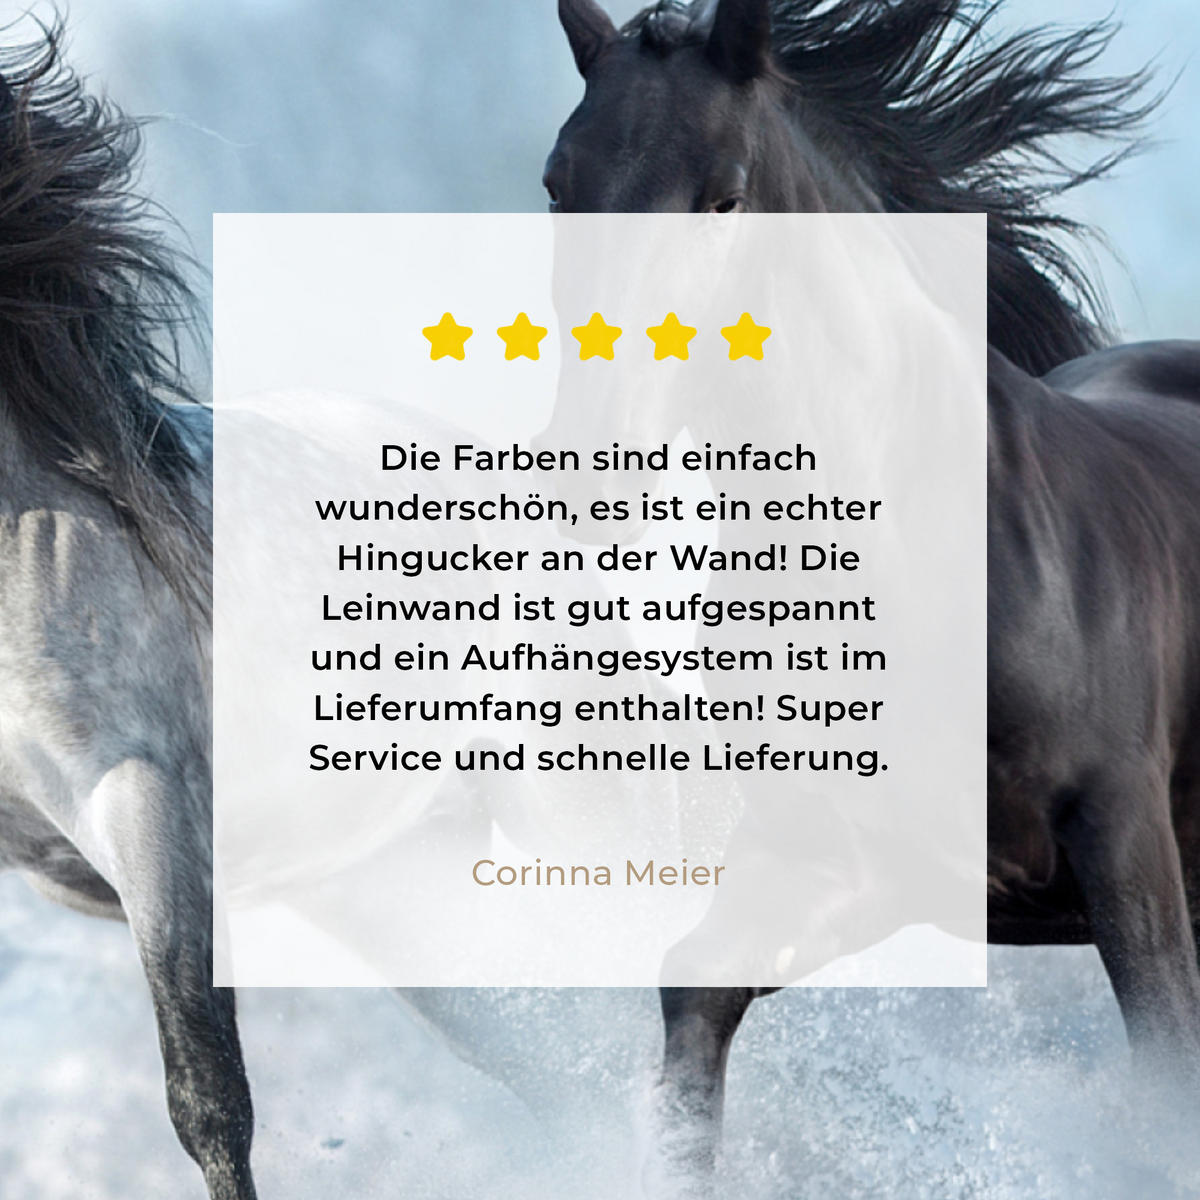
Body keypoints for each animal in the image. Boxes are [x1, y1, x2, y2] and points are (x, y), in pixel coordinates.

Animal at [546, 0, 1200, 1190]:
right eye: (558, 186)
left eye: (725, 197)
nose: (590, 466)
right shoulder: (848, 862)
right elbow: (694, 990)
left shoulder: (1128, 848)